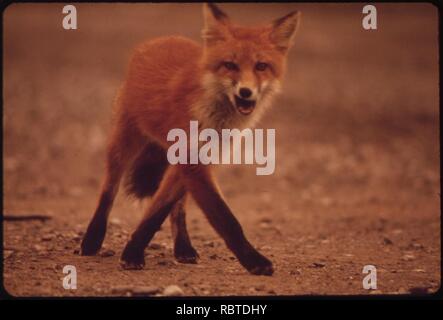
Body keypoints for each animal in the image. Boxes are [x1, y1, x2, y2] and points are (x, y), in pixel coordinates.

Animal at [80, 3, 302, 276]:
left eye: (261, 66)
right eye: (230, 65)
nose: (245, 92)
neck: (215, 118)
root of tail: (161, 39)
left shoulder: (200, 159)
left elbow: (159, 210)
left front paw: (134, 250)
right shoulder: (191, 160)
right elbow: (226, 219)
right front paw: (254, 261)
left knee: (179, 209)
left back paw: (183, 247)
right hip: (124, 143)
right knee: (108, 190)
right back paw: (92, 238)